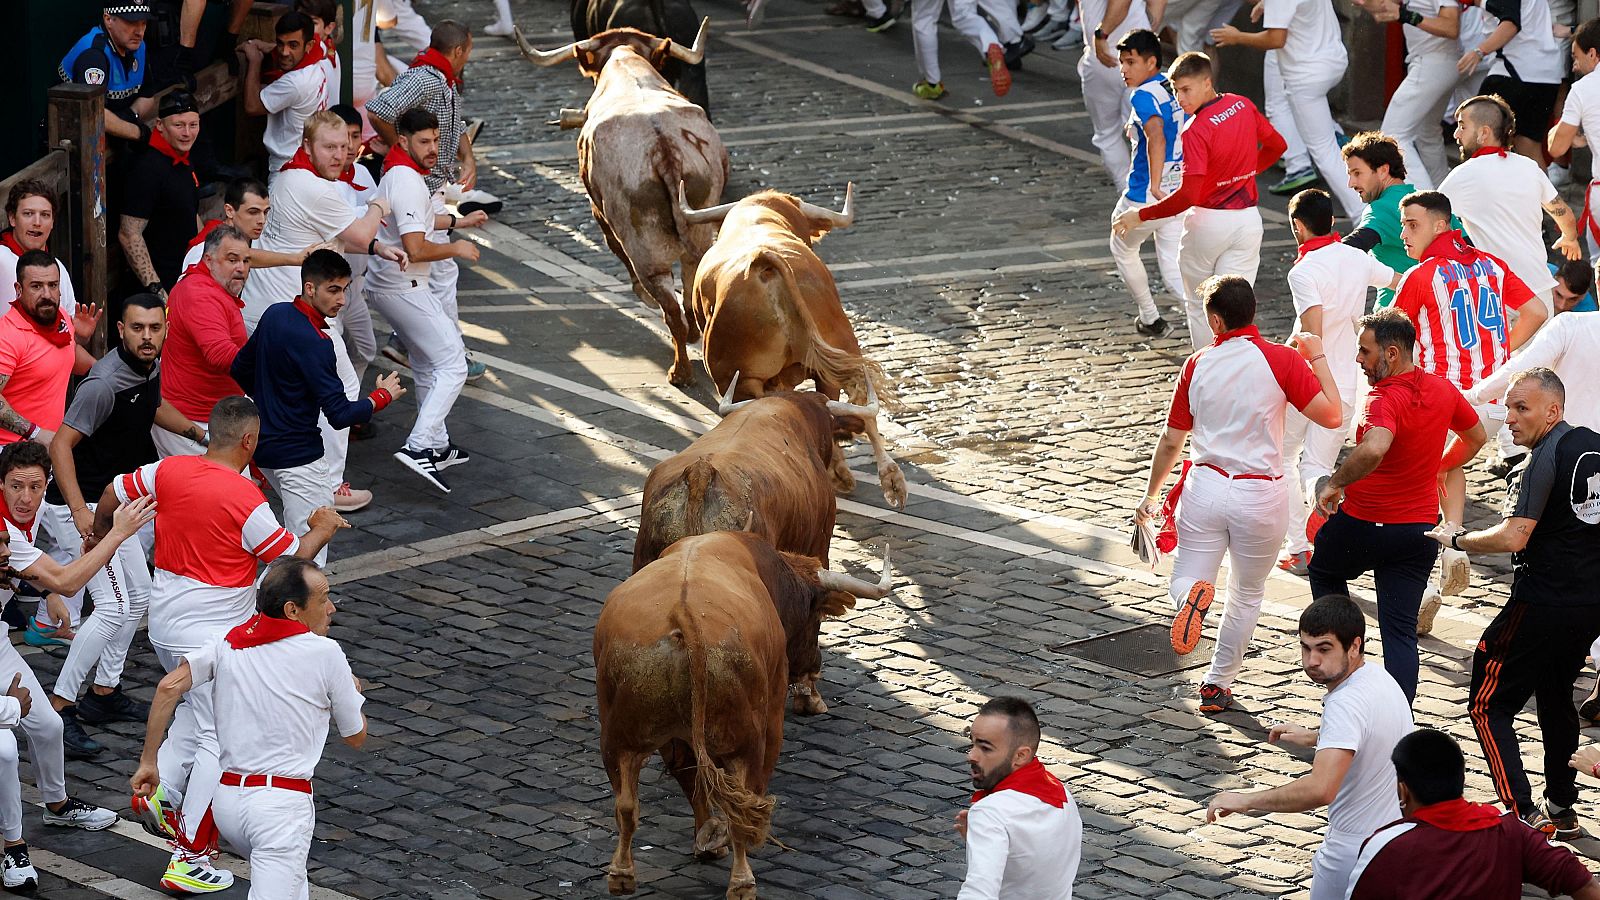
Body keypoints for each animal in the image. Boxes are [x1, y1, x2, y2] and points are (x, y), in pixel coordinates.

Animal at [515, 22, 729, 384]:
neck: (626, 64)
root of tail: (664, 147)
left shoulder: (598, 211)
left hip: (643, 246)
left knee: (669, 306)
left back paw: (679, 371)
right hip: (699, 234)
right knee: (692, 292)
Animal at [592, 528, 889, 890]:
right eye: (815, 616)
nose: (812, 666)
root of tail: (682, 614)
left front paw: (706, 839)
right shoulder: (773, 706)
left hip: (620, 738)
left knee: (628, 803)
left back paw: (624, 873)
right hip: (747, 738)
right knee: (745, 805)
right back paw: (741, 880)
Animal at [675, 183, 908, 509]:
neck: (758, 215)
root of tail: (763, 261)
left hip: (745, 376)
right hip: (837, 349)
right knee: (856, 402)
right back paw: (884, 478)